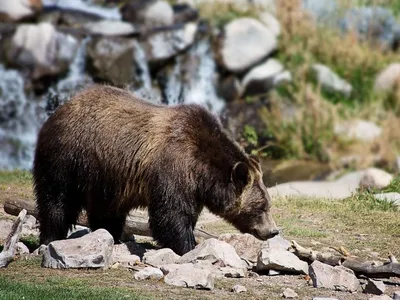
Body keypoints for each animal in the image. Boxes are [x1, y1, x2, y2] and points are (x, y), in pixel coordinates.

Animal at [32, 84, 278, 255]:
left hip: (105, 176)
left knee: (106, 210)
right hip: (69, 157)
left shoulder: (193, 187)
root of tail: (60, 108)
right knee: (57, 199)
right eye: (262, 207)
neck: (202, 171)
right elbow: (171, 214)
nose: (273, 231)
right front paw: (188, 246)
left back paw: (111, 236)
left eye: (268, 203)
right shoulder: (173, 167)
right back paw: (51, 237)